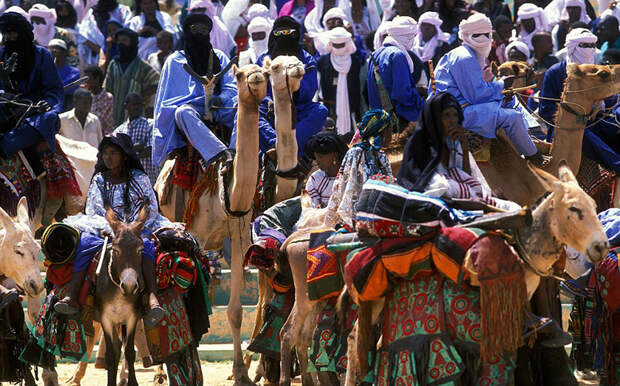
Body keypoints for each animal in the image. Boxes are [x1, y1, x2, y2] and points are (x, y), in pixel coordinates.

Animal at [152, 63, 268, 382]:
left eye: (263, 71)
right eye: (240, 75)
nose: (256, 79)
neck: (226, 189)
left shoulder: (238, 237)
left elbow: (235, 311)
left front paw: (240, 373)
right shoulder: (195, 235)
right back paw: (159, 371)